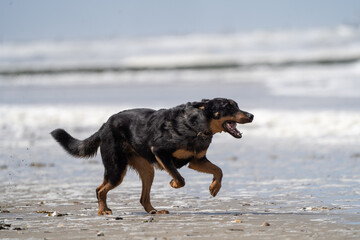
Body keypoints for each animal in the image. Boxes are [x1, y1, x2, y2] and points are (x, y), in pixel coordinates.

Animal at [50, 98, 253, 215]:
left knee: (142, 197)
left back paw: (153, 211)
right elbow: (180, 178)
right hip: (117, 169)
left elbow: (219, 170)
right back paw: (103, 210)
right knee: (100, 189)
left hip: (147, 171)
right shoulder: (161, 152)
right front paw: (174, 183)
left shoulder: (197, 160)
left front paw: (214, 187)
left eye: (237, 105)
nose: (251, 115)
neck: (196, 125)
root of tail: (105, 124)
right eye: (228, 106)